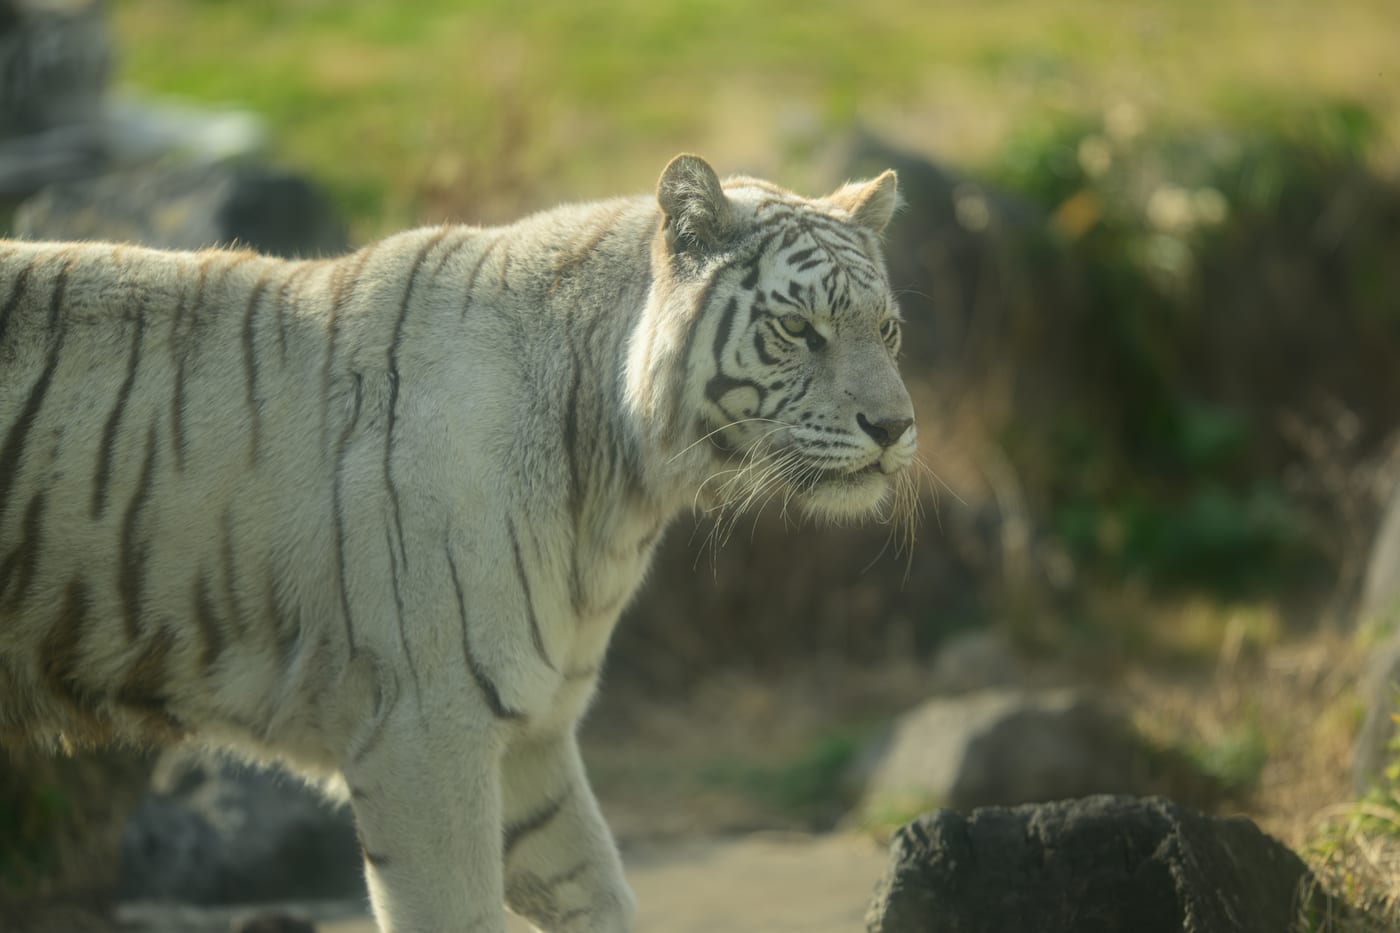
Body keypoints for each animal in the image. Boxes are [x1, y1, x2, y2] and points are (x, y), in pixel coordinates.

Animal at [0, 154, 917, 932]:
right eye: (799, 328)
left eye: (888, 329)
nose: (895, 426)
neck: (620, 484)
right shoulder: (422, 731)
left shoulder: (532, 732)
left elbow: (599, 888)